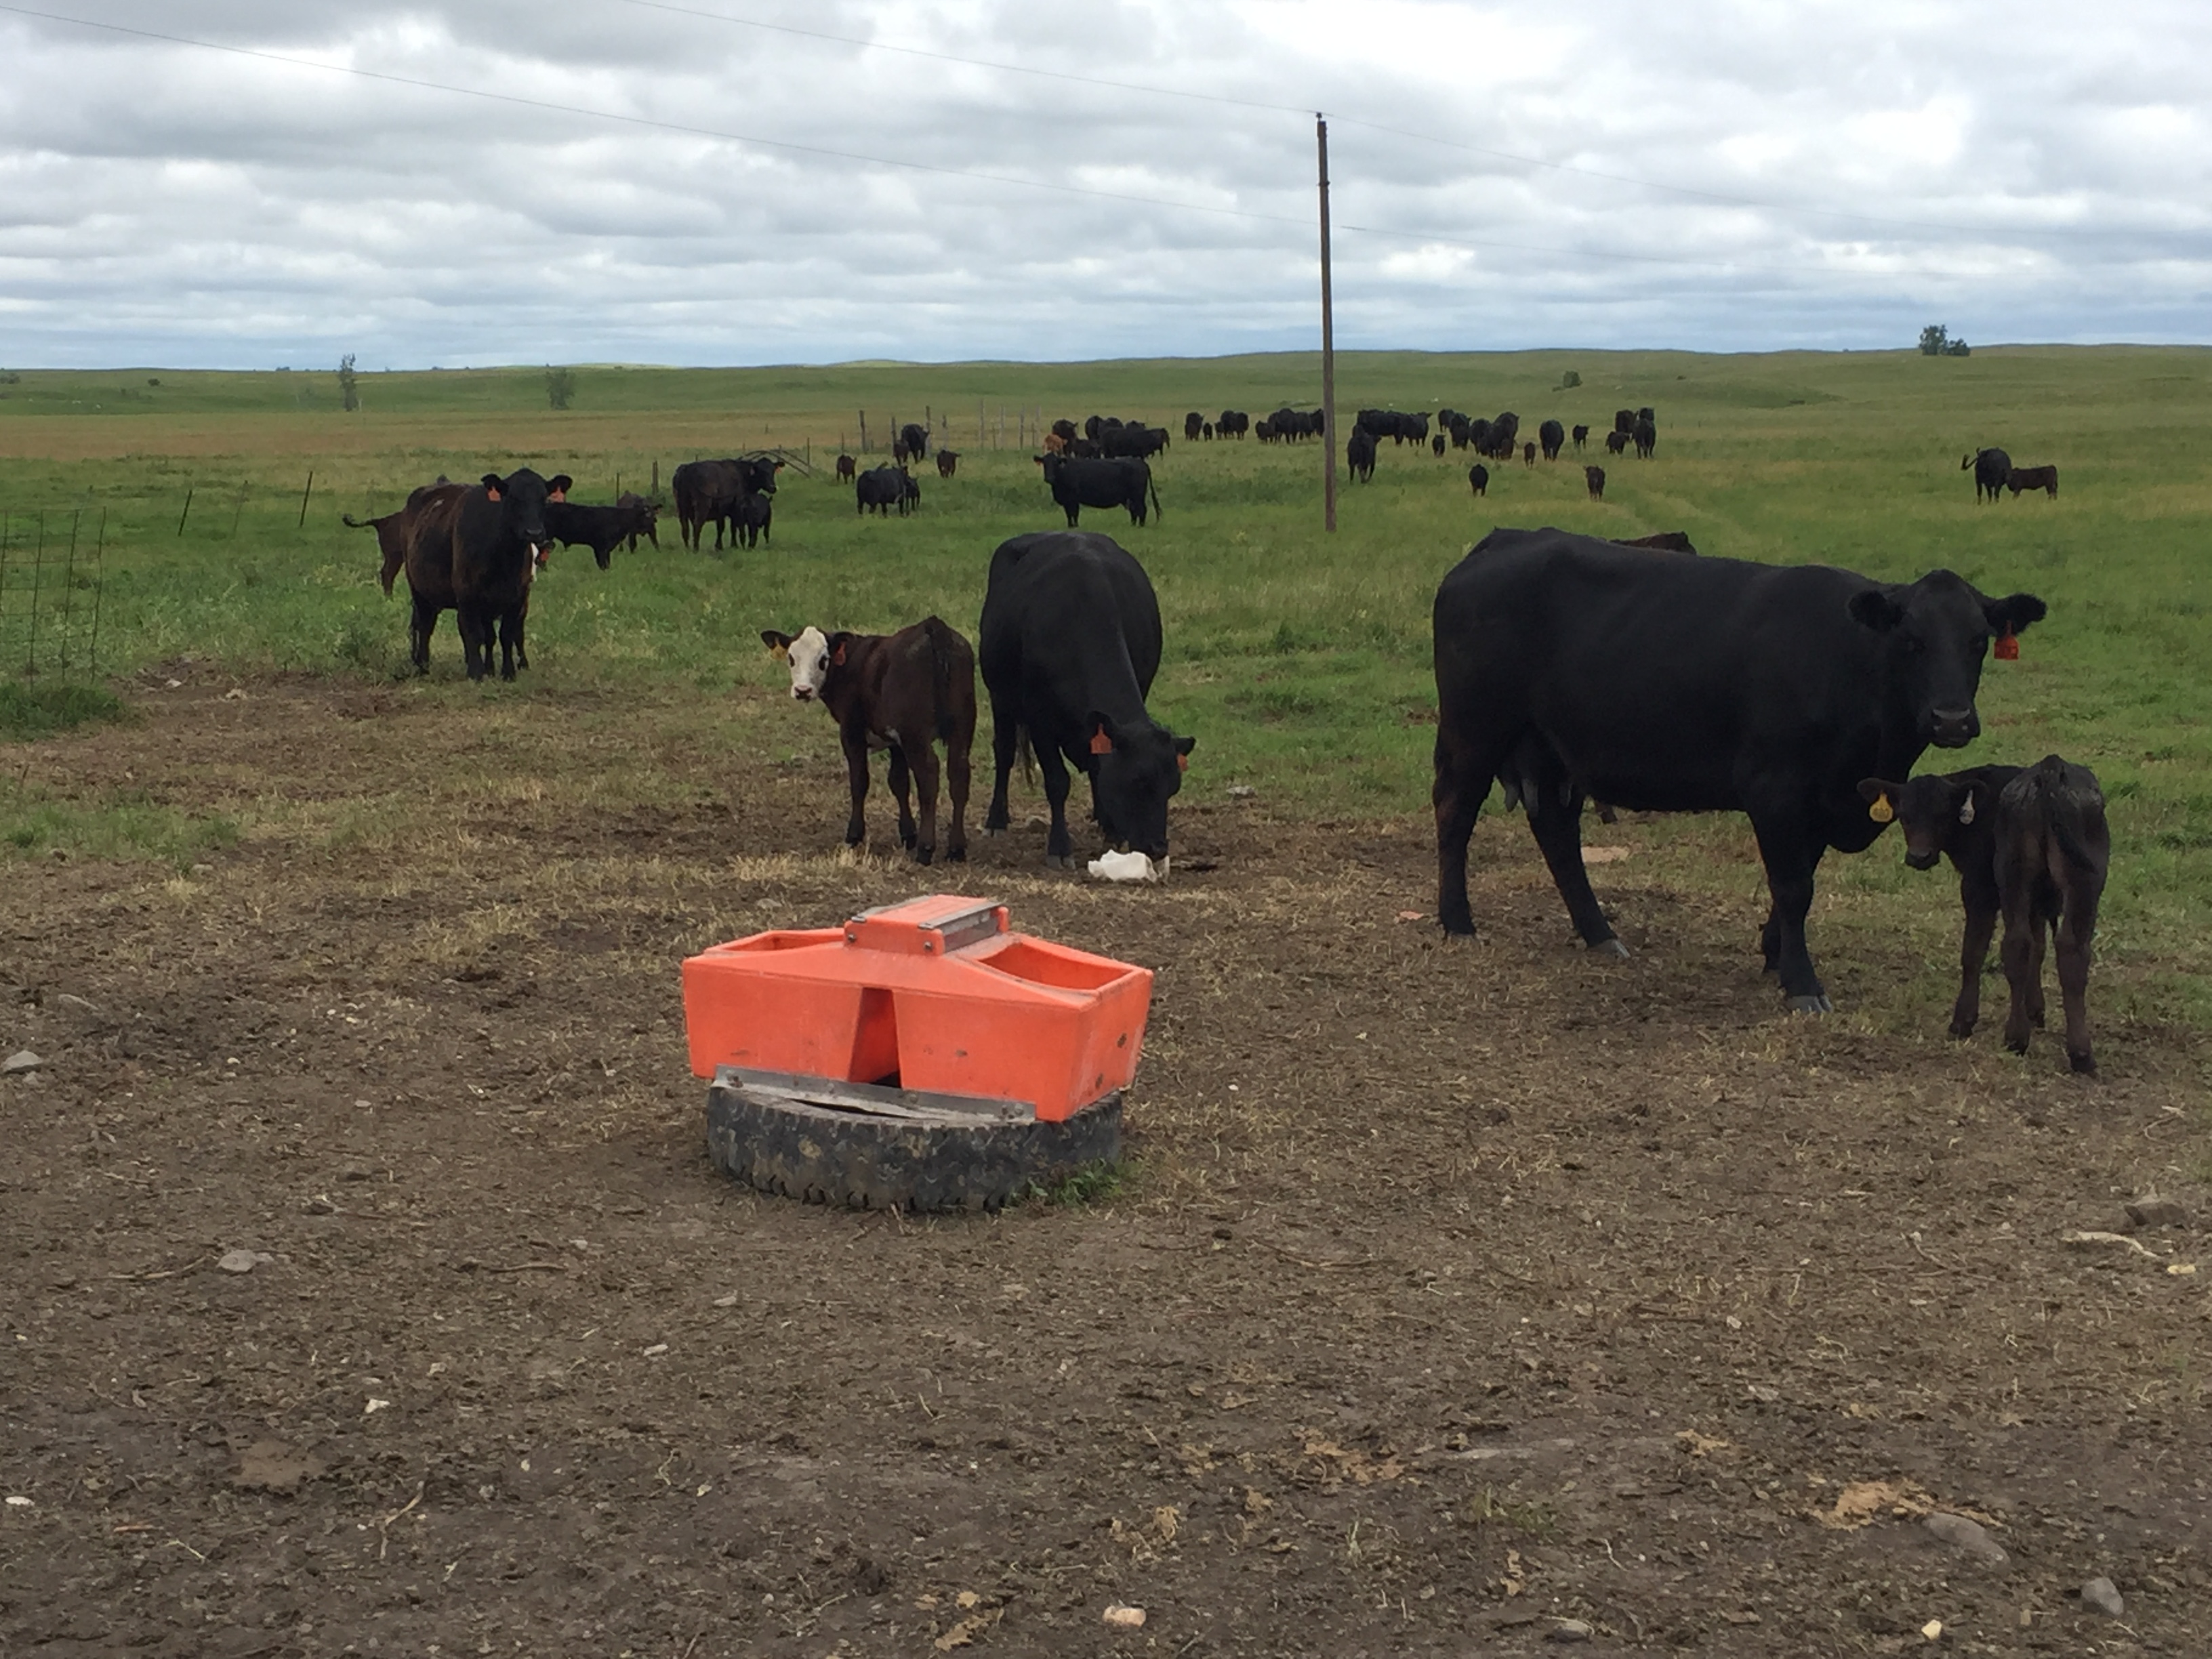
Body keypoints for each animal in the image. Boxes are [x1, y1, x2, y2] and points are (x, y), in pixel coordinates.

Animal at [760, 615, 977, 872]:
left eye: (823, 660)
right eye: (792, 658)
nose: (803, 691)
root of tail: (934, 627)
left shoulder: (852, 732)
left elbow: (859, 781)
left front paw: (854, 835)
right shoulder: (895, 742)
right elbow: (899, 782)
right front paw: (908, 834)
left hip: (916, 735)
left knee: (929, 775)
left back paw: (926, 849)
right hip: (962, 727)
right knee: (959, 775)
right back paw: (956, 848)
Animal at [982, 533, 1194, 872]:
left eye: (1172, 787)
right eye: (1136, 782)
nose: (1158, 847)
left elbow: (1099, 767)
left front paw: (1110, 828)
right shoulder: (1041, 721)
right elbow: (1057, 782)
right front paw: (1059, 847)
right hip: (1000, 697)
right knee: (1003, 752)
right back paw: (996, 820)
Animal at [1035, 455, 1168, 526]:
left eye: (1055, 464)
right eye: (1044, 464)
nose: (1049, 478)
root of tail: (1140, 462)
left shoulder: (1073, 500)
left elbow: (1074, 514)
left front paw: (1076, 527)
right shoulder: (1067, 501)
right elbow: (1069, 515)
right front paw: (1070, 527)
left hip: (1138, 495)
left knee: (1142, 510)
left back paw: (1140, 526)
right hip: (1131, 498)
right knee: (1135, 511)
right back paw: (1133, 525)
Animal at [1425, 526, 2043, 1008]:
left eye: (1978, 641)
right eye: (1911, 640)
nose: (1951, 719)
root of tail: (1503, 539)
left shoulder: (1821, 798)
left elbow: (1801, 876)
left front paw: (1775, 954)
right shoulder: (1775, 787)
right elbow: (1793, 885)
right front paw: (1802, 983)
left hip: (1554, 748)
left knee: (1555, 830)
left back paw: (1599, 932)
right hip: (1474, 730)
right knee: (1455, 811)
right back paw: (1458, 923)